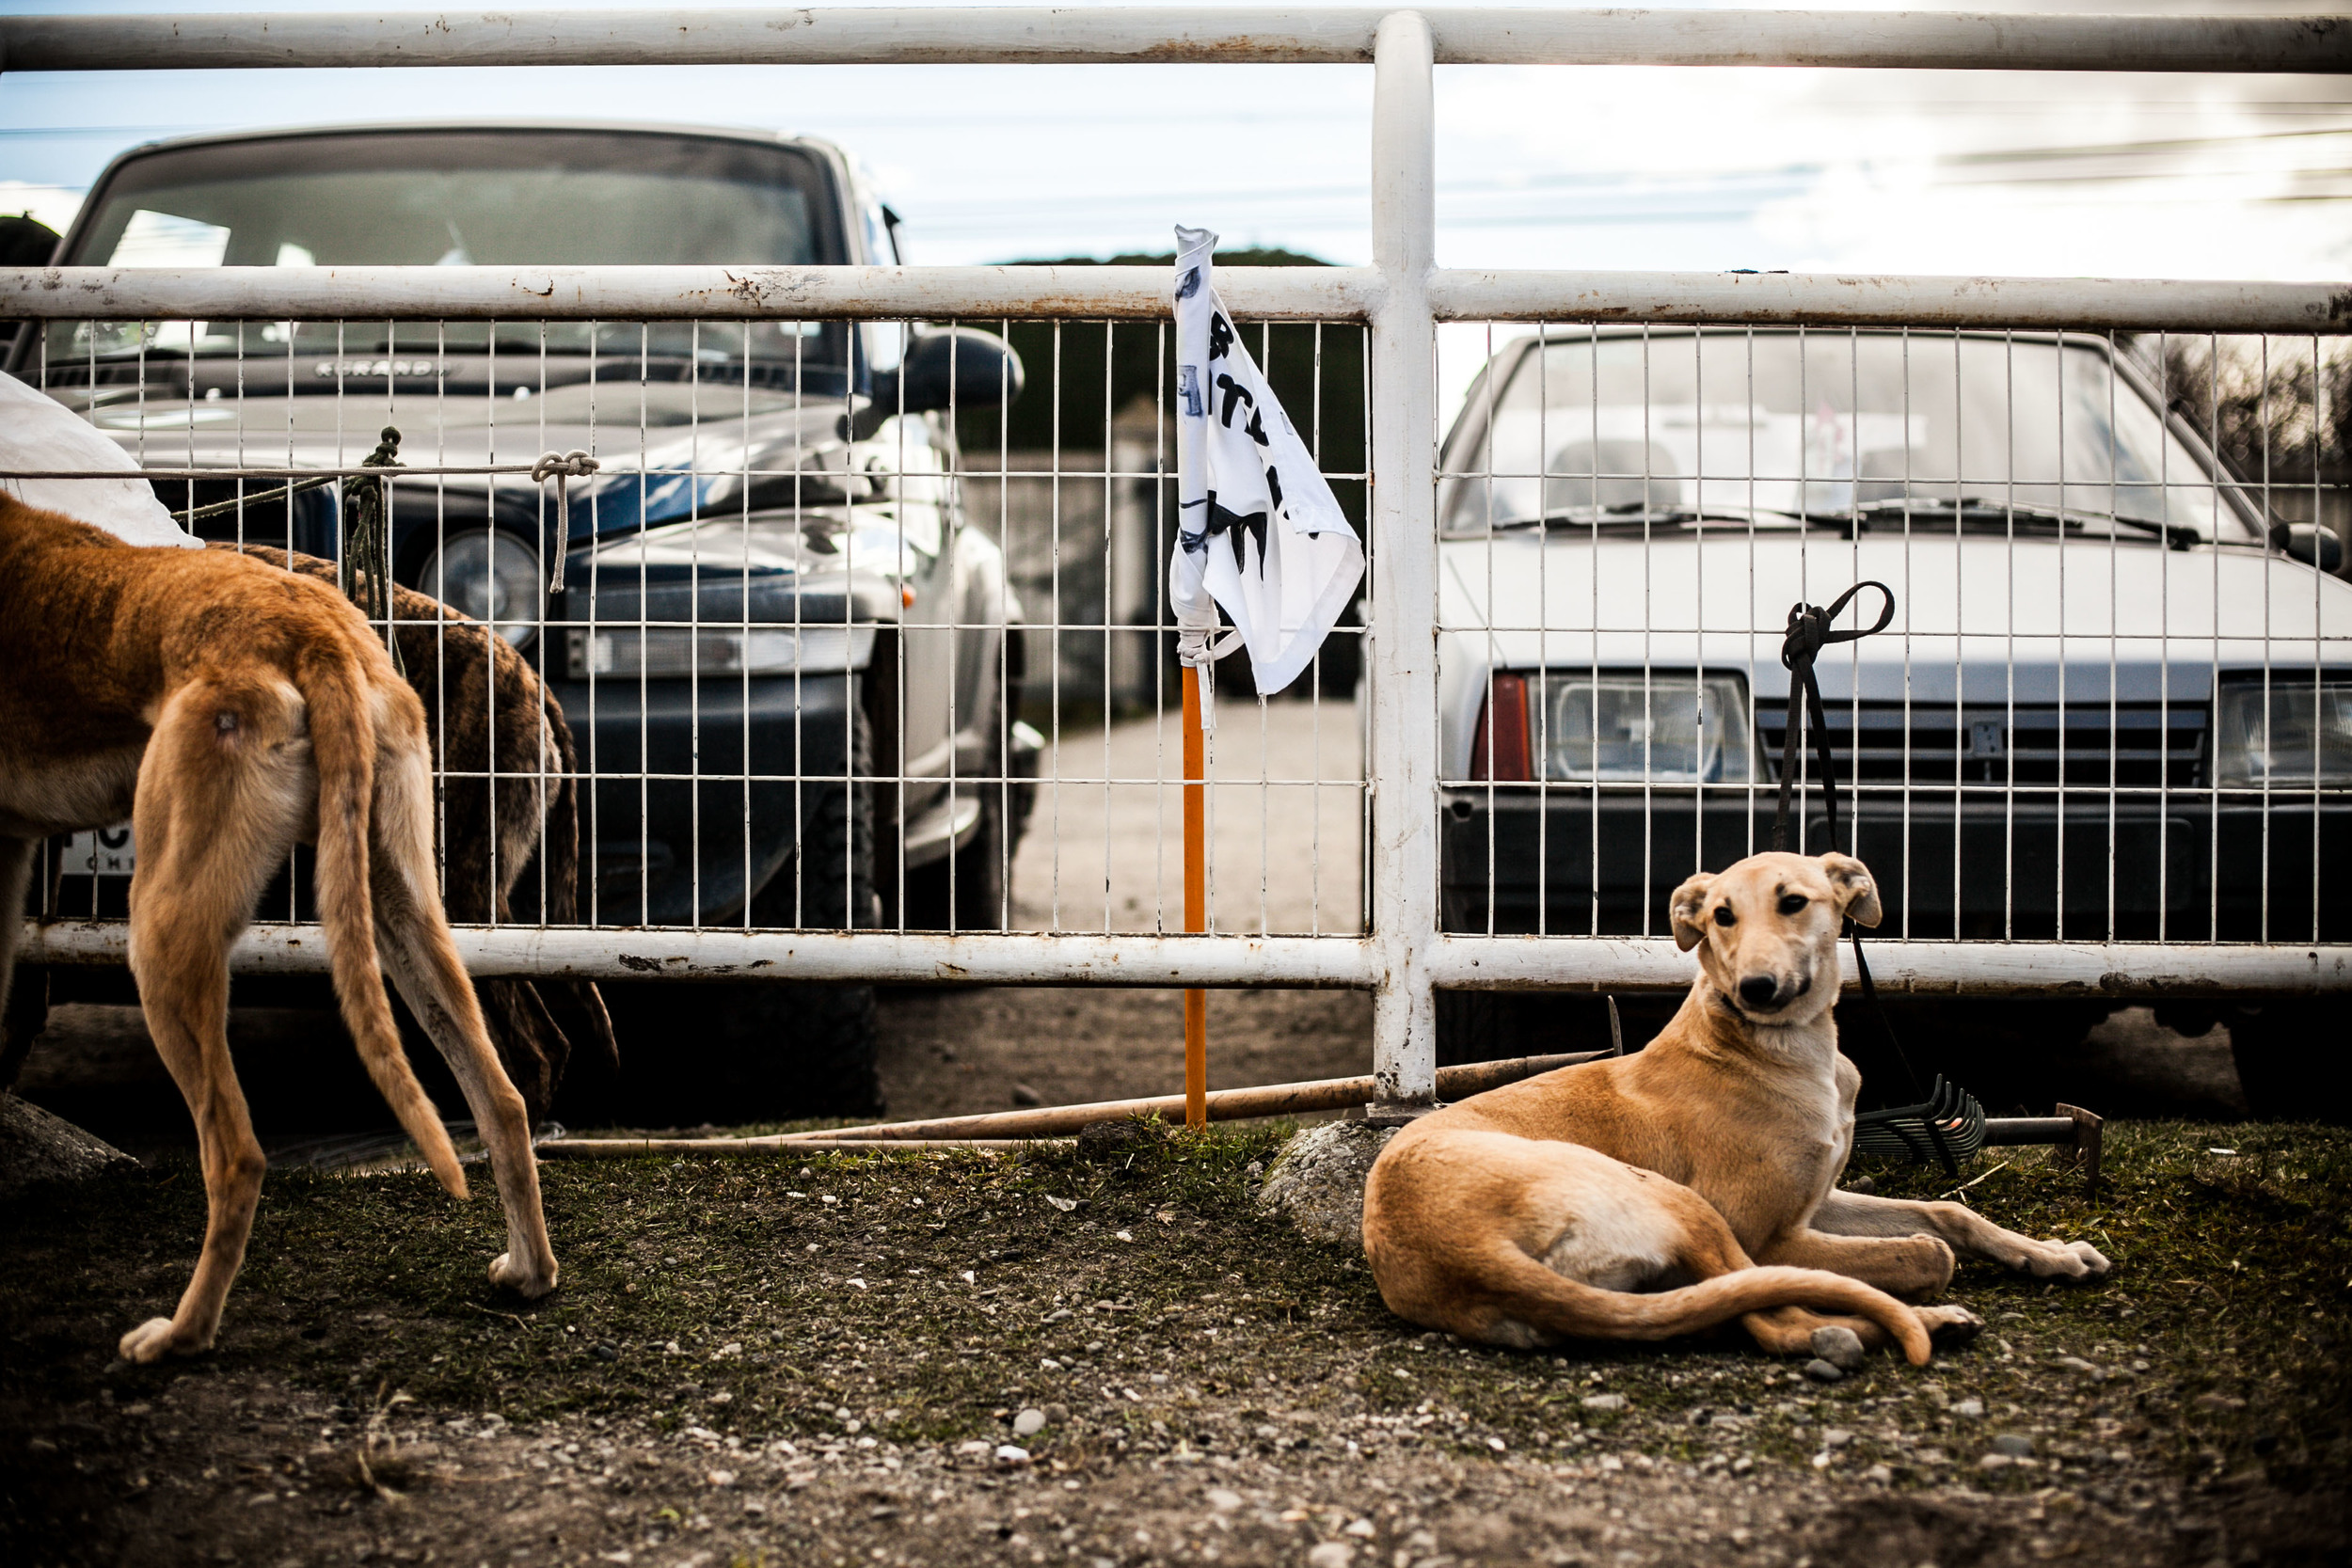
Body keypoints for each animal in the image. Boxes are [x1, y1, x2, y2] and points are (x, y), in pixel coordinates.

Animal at [0, 500, 555, 1363]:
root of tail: (315, 632)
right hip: (400, 902)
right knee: (501, 1096)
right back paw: (529, 1270)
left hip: (163, 928)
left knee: (236, 1154)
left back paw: (181, 1333)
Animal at [1364, 846, 2117, 1363]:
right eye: (1721, 916)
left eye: (1794, 902)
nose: (1756, 988)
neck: (1780, 1050)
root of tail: (1471, 1250)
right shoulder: (1771, 1233)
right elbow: (1928, 1252)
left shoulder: (1819, 1199)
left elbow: (1948, 1212)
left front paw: (2052, 1255)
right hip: (1690, 1209)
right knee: (1776, 1318)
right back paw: (1920, 1324)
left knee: (1754, 1312)